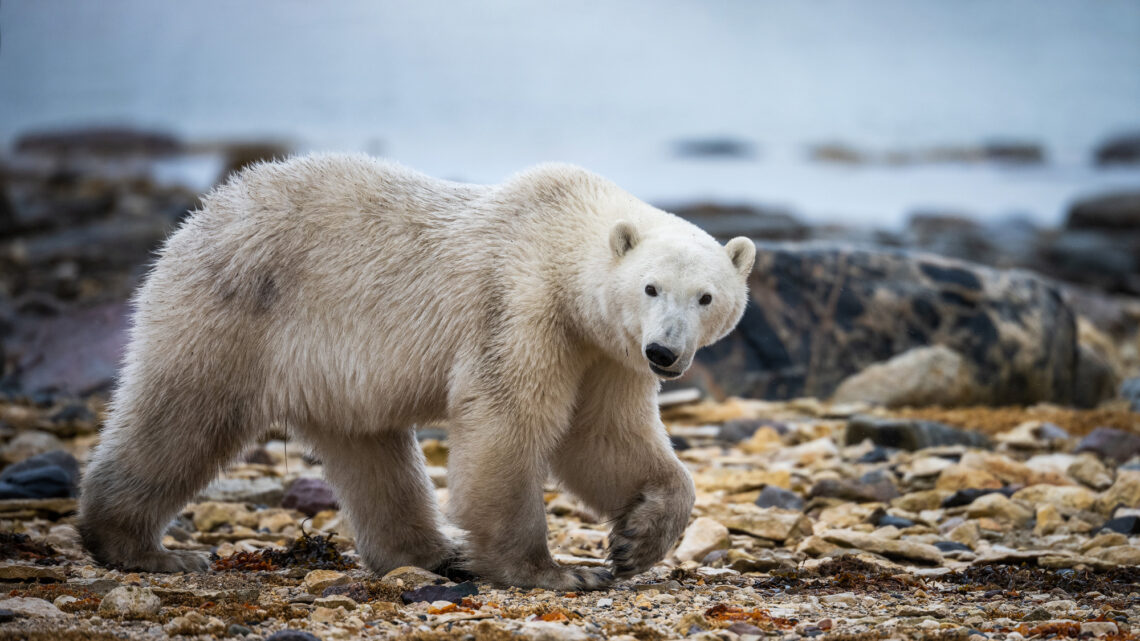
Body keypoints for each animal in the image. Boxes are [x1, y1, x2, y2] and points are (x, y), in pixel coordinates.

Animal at [80, 151, 756, 588]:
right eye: (650, 287)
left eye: (706, 297)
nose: (664, 353)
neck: (562, 240)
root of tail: (201, 215)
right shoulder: (520, 305)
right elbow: (509, 421)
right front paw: (553, 572)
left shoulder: (604, 351)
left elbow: (604, 437)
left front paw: (636, 542)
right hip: (238, 312)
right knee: (183, 416)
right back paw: (143, 550)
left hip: (330, 371)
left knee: (372, 454)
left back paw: (432, 555)